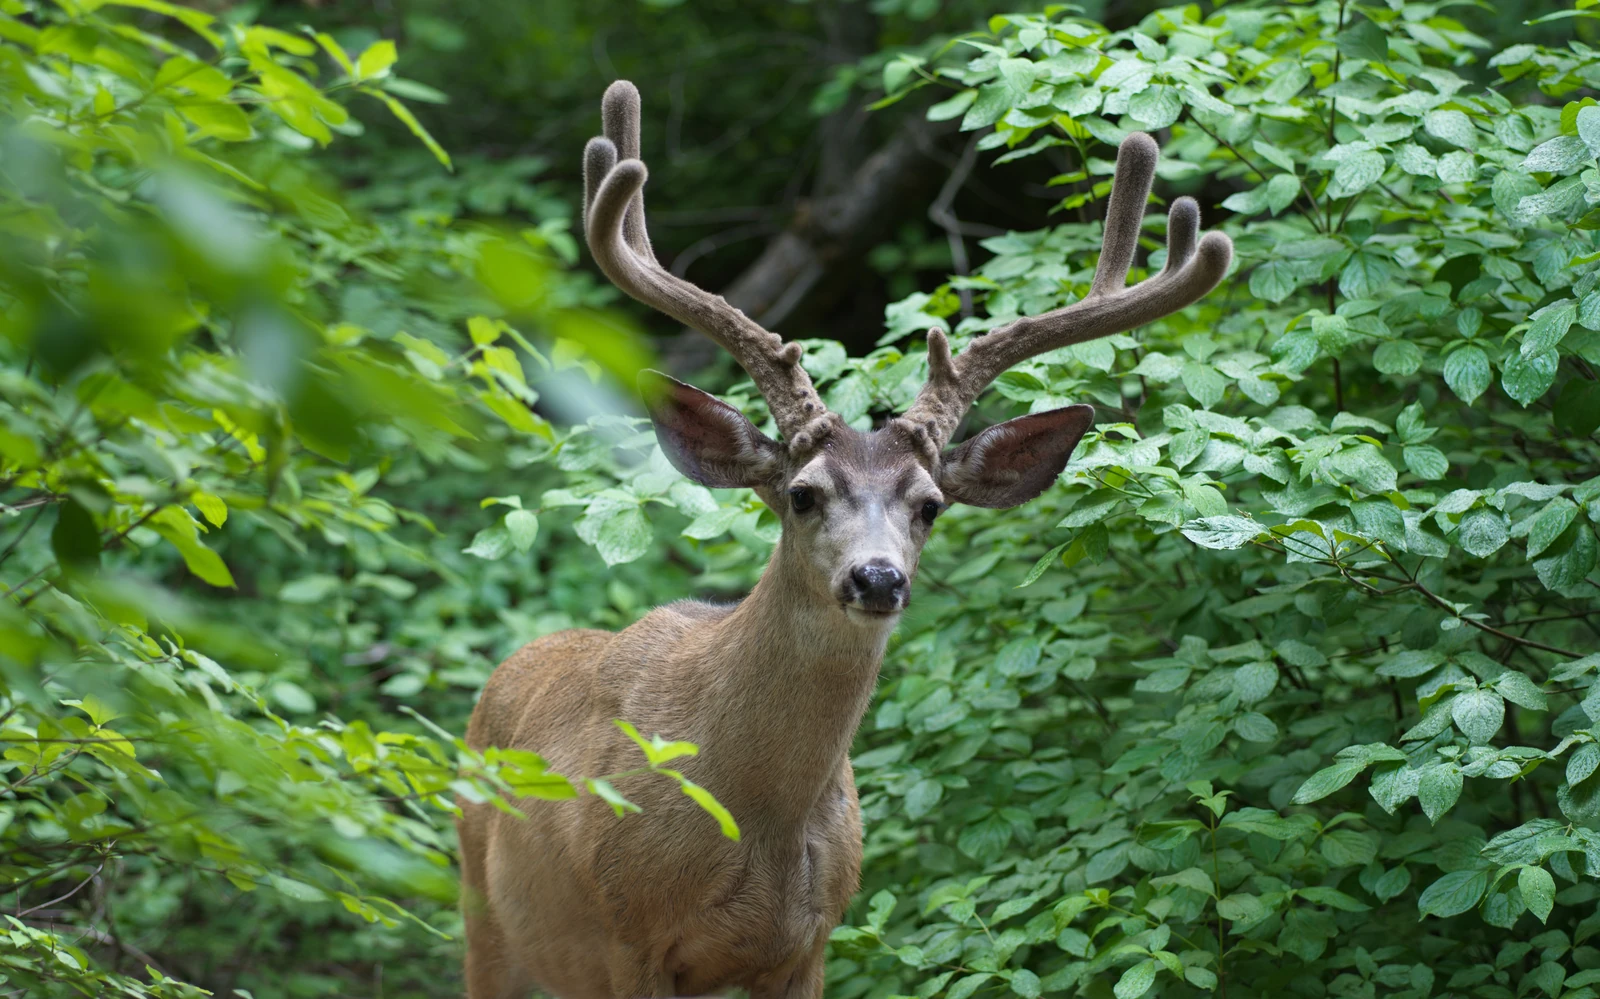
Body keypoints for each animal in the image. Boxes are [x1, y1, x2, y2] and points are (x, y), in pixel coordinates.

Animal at [457, 79, 1232, 999]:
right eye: (801, 493)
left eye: (929, 505)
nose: (877, 578)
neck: (756, 817)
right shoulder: (628, 935)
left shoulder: (810, 939)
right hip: (483, 911)